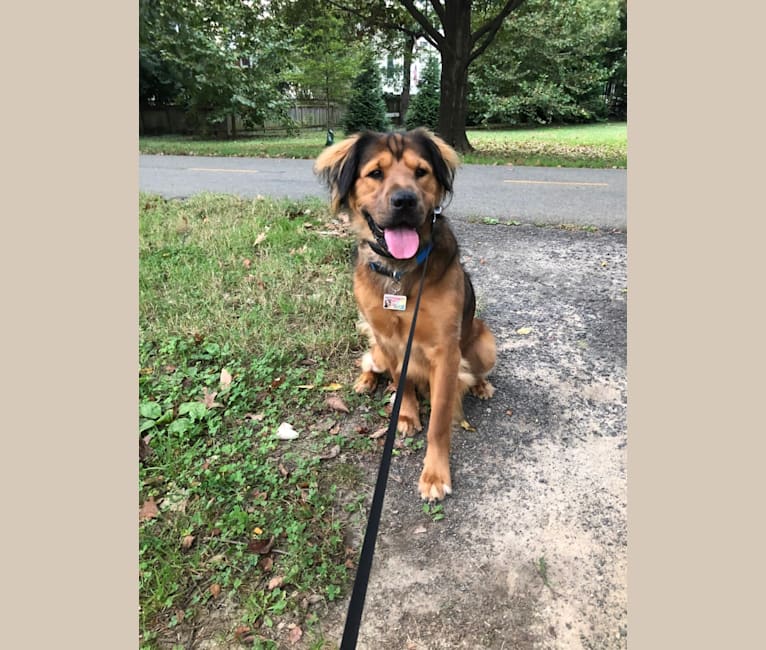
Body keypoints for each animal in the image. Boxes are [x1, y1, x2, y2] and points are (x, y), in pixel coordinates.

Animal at [314, 128, 498, 502]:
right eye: (375, 173)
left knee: (477, 367)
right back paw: (366, 381)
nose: (405, 201)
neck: (399, 272)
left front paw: (434, 474)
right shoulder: (390, 339)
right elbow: (402, 380)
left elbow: (439, 422)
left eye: (420, 172)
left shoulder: (446, 353)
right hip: (377, 348)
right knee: (371, 362)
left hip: (485, 342)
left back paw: (481, 384)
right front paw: (407, 415)